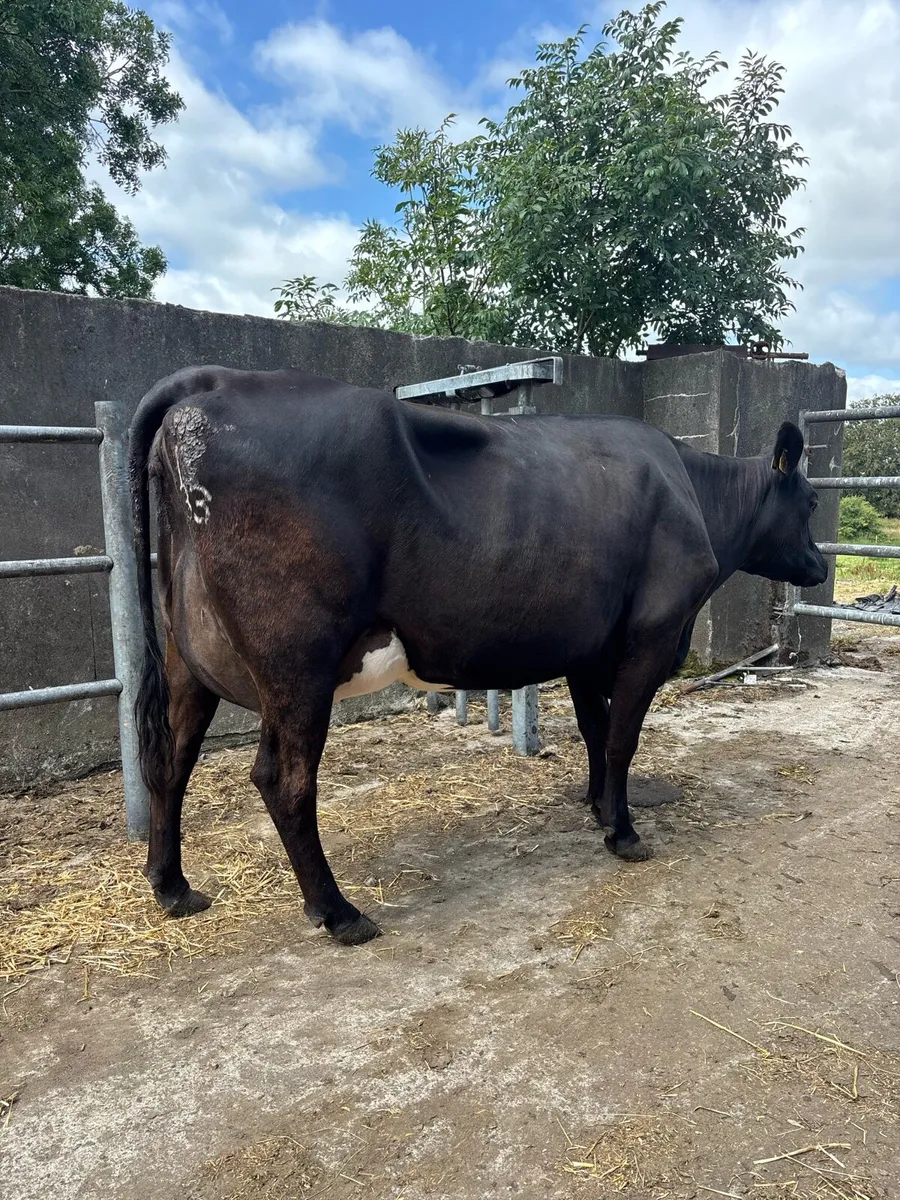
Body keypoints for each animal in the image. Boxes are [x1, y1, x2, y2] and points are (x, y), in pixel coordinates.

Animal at [129, 366, 827, 946]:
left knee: (171, 759)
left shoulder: (584, 646)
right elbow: (622, 738)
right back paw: (340, 914)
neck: (694, 495)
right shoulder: (651, 637)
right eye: (813, 501)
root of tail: (211, 382)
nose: (822, 567)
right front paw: (624, 833)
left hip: (189, 658)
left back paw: (173, 888)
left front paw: (598, 805)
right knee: (283, 780)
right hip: (297, 667)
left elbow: (595, 731)